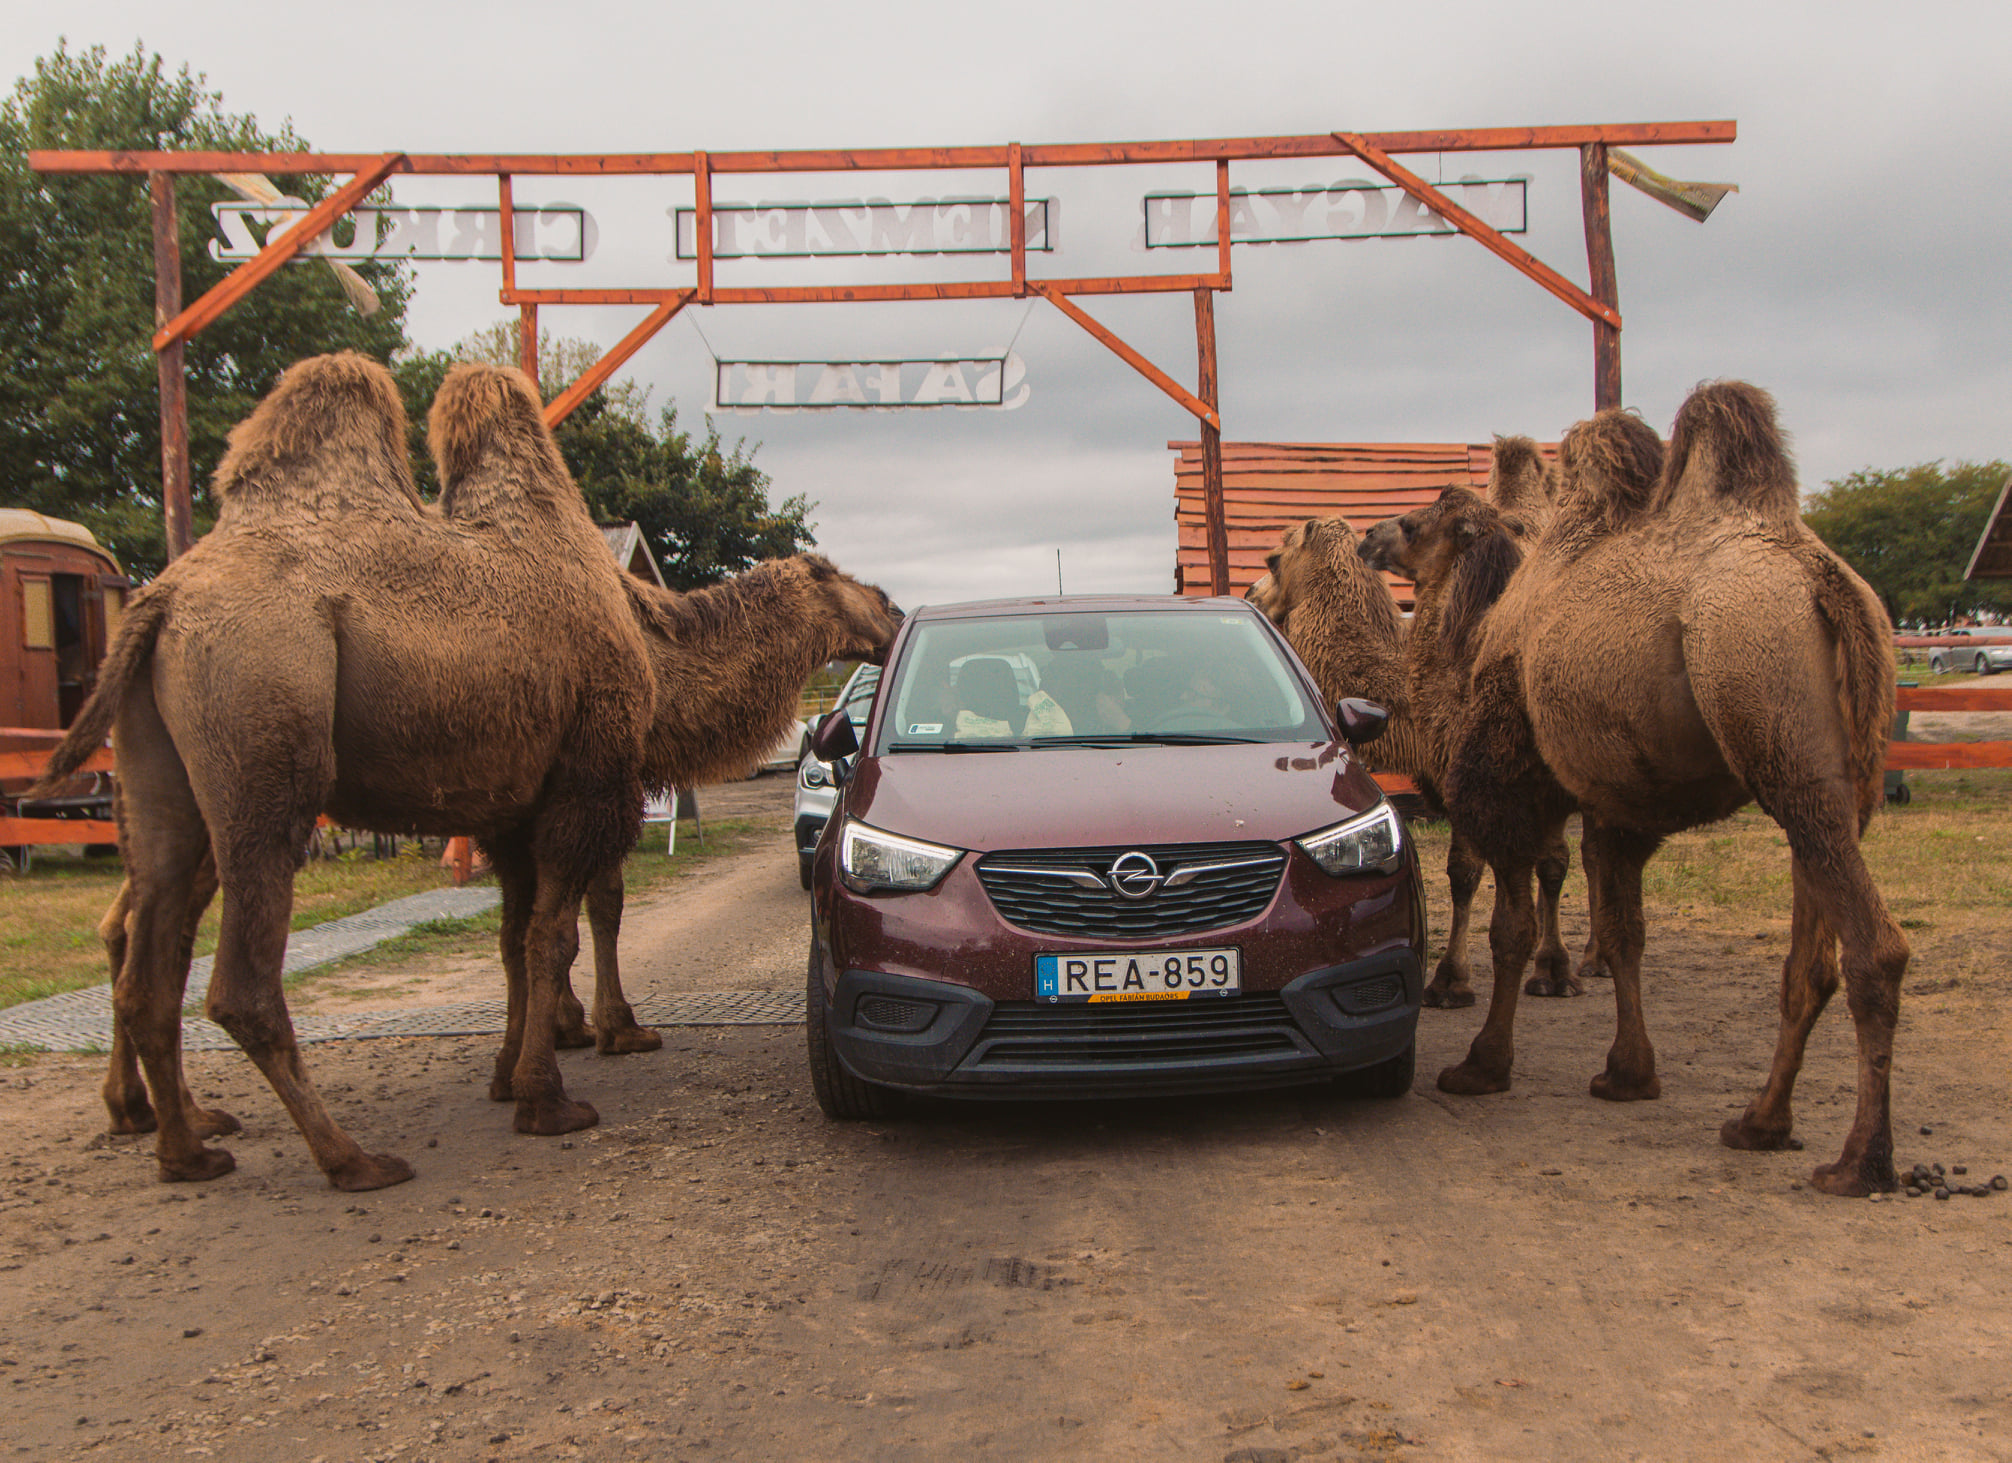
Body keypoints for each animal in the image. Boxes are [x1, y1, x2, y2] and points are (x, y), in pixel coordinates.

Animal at [37, 354, 651, 1191]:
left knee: (148, 966)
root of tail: (159, 602)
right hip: (263, 721)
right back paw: (351, 1158)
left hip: (155, 767)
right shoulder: (580, 781)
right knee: (239, 980)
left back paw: (188, 1151)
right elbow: (552, 939)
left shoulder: (509, 806)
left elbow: (515, 939)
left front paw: (508, 1079)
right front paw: (547, 1101)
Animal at [1432, 384, 1899, 1199]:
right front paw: (1628, 1073)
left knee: (1876, 950)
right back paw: (1759, 1121)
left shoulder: (1507, 783)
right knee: (1811, 959)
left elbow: (1510, 929)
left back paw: (1858, 1161)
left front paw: (1483, 1063)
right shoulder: (1619, 804)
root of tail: (1825, 583)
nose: (1368, 541)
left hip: (1766, 703)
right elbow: (1624, 934)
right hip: (1832, 778)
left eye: (1419, 519)